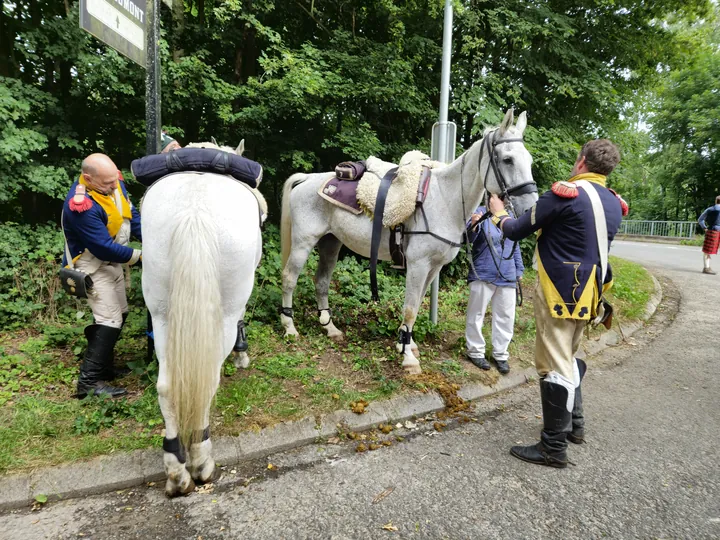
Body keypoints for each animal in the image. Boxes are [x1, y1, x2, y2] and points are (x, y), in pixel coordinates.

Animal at [142, 144, 262, 498]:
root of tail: (194, 211)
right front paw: (241, 354)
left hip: (163, 313)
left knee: (167, 387)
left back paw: (176, 469)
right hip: (223, 308)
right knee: (207, 381)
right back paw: (200, 461)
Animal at [282, 108, 540, 372]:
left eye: (529, 160)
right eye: (507, 160)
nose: (531, 208)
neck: (445, 199)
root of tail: (307, 179)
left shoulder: (433, 268)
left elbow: (416, 306)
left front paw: (407, 344)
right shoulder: (418, 265)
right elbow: (409, 309)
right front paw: (408, 358)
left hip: (331, 243)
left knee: (322, 281)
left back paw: (330, 328)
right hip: (303, 243)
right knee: (289, 278)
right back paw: (290, 328)